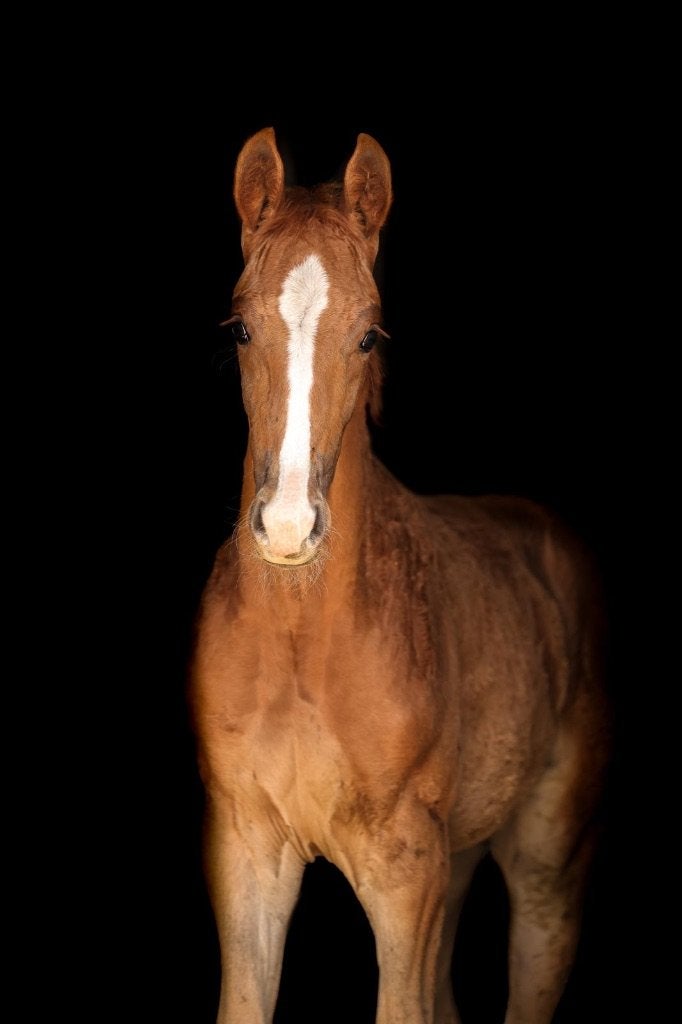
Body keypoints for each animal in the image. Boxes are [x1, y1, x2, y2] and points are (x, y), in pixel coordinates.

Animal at [190, 127, 611, 1024]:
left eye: (369, 336)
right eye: (240, 329)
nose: (288, 525)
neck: (304, 643)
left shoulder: (403, 872)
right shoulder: (246, 852)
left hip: (545, 862)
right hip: (459, 858)